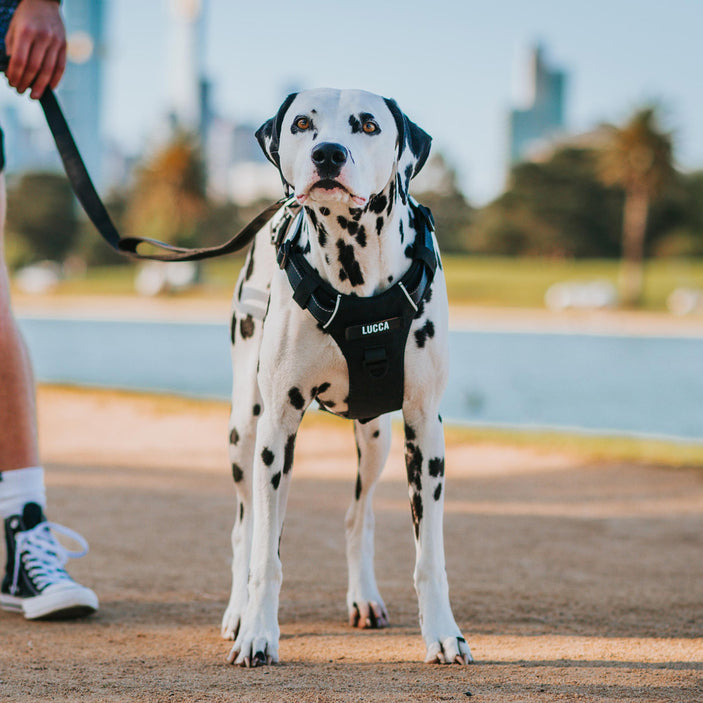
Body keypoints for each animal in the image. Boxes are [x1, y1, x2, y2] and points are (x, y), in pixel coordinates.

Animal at [223, 89, 470, 672]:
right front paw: (258, 633)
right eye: (301, 123)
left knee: (359, 517)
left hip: (377, 438)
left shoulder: (425, 432)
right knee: (246, 529)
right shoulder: (277, 431)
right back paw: (238, 612)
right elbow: (267, 554)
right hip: (246, 433)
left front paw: (443, 634)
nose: (328, 155)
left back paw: (364, 598)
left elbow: (430, 557)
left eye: (369, 125)